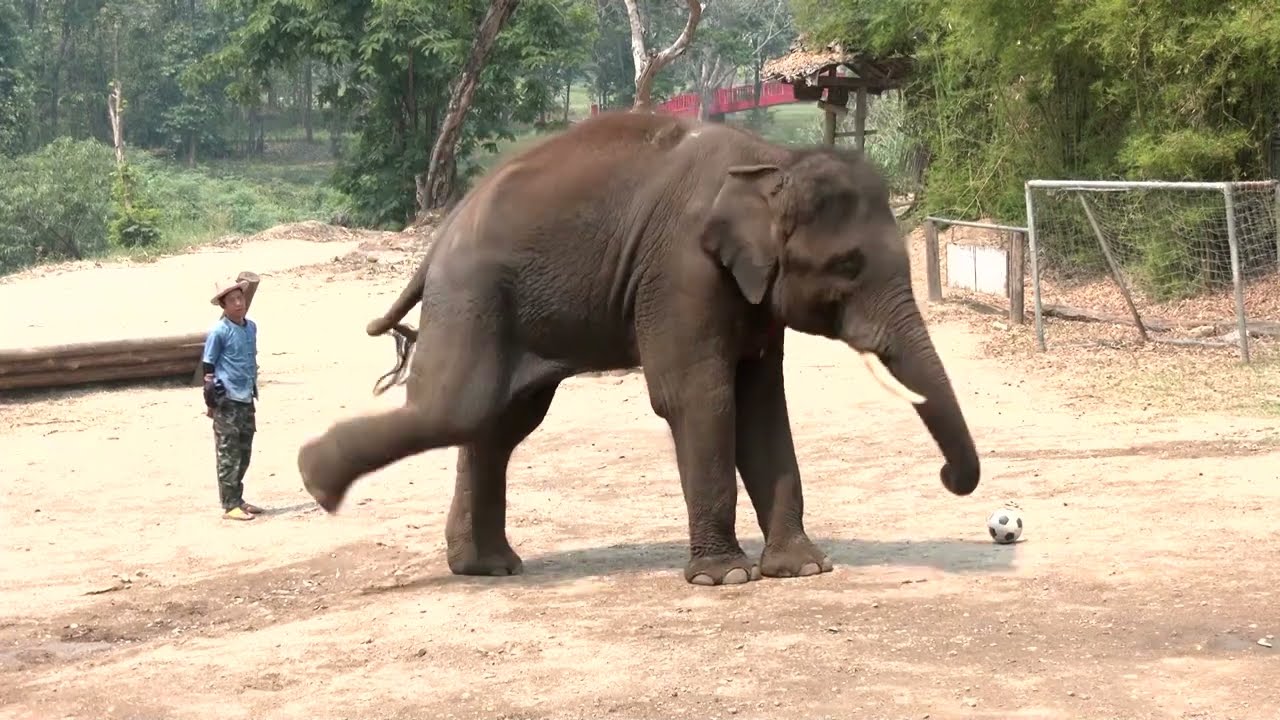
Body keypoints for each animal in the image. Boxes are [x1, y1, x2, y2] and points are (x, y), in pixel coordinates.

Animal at [296, 109, 981, 586]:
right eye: (847, 266)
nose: (950, 478)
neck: (771, 165)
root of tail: (436, 239)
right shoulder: (681, 274)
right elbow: (698, 397)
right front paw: (727, 577)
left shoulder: (749, 294)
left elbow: (763, 405)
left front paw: (804, 568)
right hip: (475, 294)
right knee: (459, 407)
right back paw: (314, 478)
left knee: (496, 422)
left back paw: (486, 566)